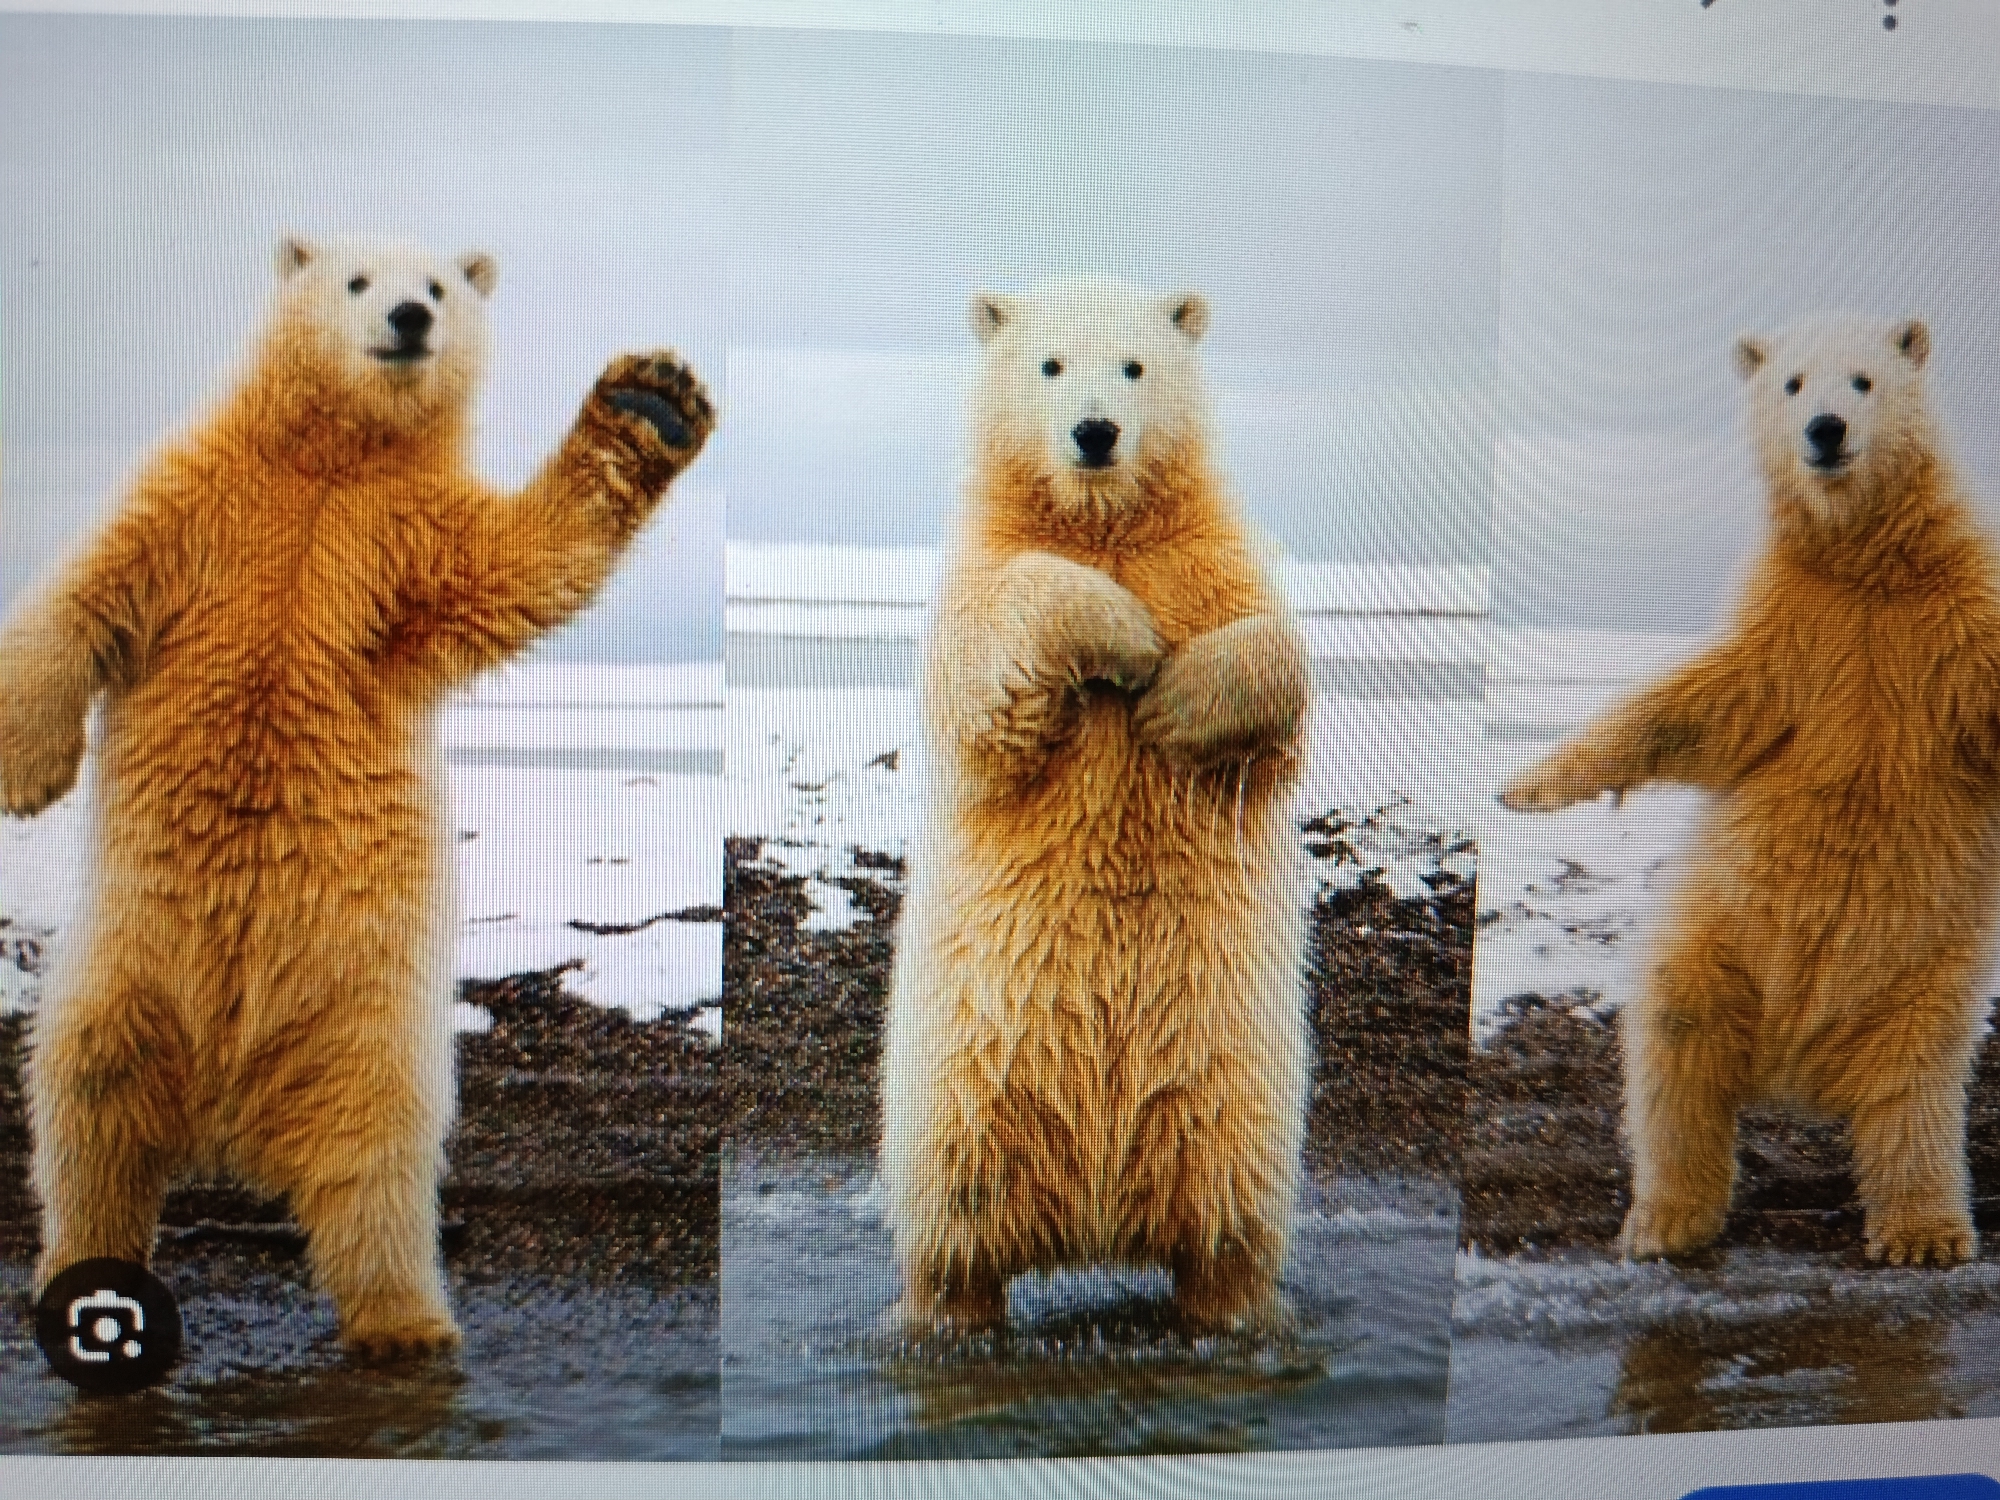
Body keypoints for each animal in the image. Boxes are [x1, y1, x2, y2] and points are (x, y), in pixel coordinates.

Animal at [0, 235, 714, 1355]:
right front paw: (27, 774)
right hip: (123, 970)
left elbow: (519, 565)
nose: (411, 320)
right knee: (86, 1112)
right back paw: (83, 1277)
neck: (330, 462)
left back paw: (406, 1322)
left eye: (440, 287)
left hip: (364, 1018)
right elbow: (85, 595)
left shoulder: (399, 541)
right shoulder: (200, 500)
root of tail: (226, 1102)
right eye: (356, 281)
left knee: (375, 1161)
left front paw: (653, 402)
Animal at [879, 277, 1312, 1331]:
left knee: (1230, 1223)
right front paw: (1126, 639)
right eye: (1050, 363)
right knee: (954, 1228)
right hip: (959, 1088)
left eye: (1134, 364)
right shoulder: (978, 577)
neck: (1105, 526)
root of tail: (1097, 1222)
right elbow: (991, 674)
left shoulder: (1207, 561)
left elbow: (1274, 655)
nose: (1095, 431)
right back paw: (946, 1311)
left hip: (1230, 1086)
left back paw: (1231, 1307)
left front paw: (1174, 702)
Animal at [1501, 314, 2000, 1267]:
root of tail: (1801, 1067)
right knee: (1677, 1050)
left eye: (1864, 380)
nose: (1825, 431)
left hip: (1923, 974)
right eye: (1794, 383)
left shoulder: (1956, 626)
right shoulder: (1794, 634)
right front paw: (1526, 787)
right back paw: (1666, 1219)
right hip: (1720, 939)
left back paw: (1924, 1231)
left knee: (1914, 1094)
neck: (1870, 570)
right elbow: (1698, 708)